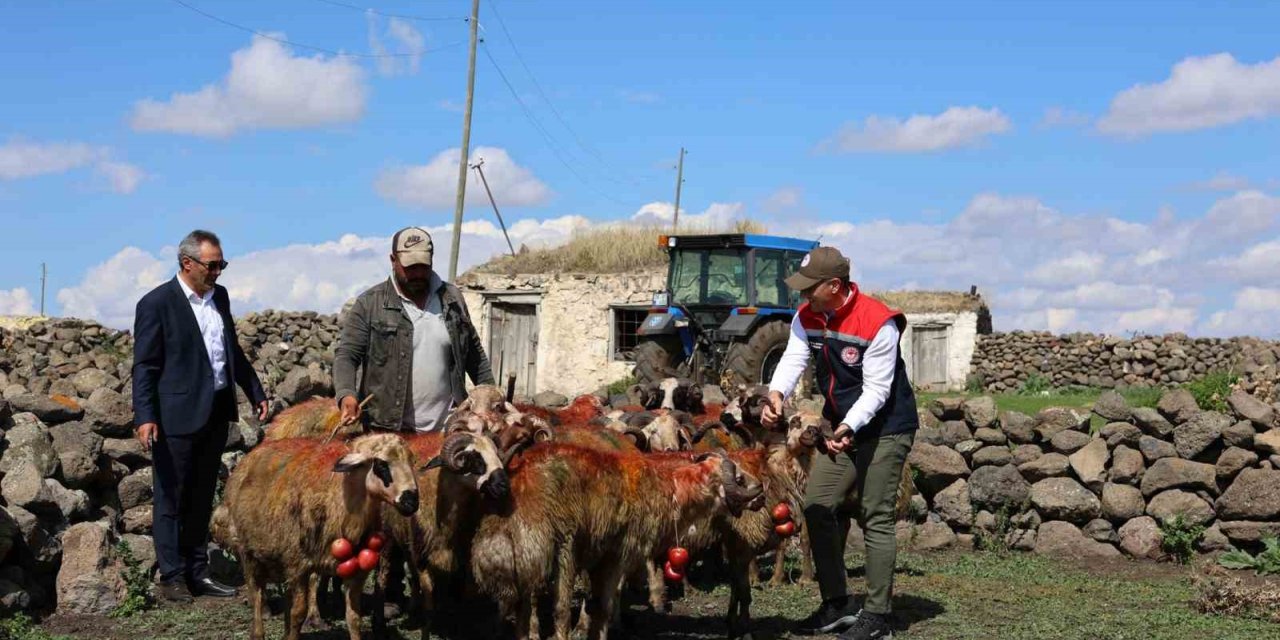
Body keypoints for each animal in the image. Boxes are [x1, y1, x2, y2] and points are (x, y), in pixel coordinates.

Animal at [220, 432, 419, 637]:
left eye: (412, 462)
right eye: (381, 464)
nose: (411, 502)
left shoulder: (355, 570)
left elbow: (353, 617)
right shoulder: (298, 565)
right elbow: (298, 613)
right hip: (249, 554)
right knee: (257, 597)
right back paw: (258, 630)